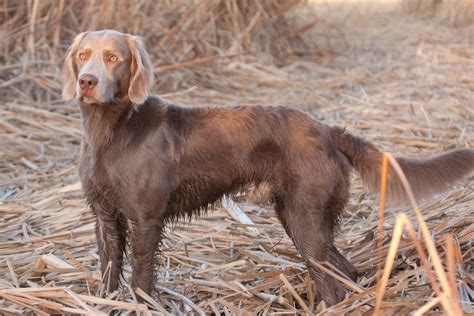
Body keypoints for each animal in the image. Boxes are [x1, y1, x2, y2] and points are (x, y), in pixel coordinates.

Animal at [63, 30, 474, 306]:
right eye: (83, 55)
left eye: (113, 58)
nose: (87, 82)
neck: (111, 131)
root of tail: (327, 130)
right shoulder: (104, 216)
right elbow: (108, 268)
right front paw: (104, 302)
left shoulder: (145, 219)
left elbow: (141, 275)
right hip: (298, 215)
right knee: (345, 270)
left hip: (306, 218)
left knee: (333, 280)